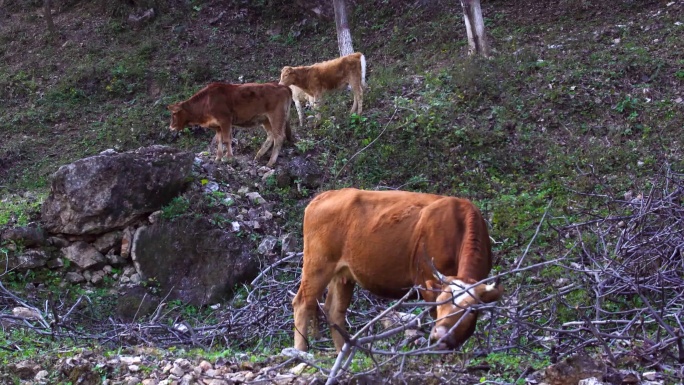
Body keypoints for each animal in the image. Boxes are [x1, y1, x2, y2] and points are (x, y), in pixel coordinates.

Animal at [290, 188, 502, 352]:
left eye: (471, 310)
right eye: (441, 302)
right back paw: (300, 353)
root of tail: (323, 196)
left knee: (334, 311)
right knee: (303, 303)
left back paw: (343, 351)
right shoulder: (426, 281)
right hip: (317, 264)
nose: (439, 336)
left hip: (343, 274)